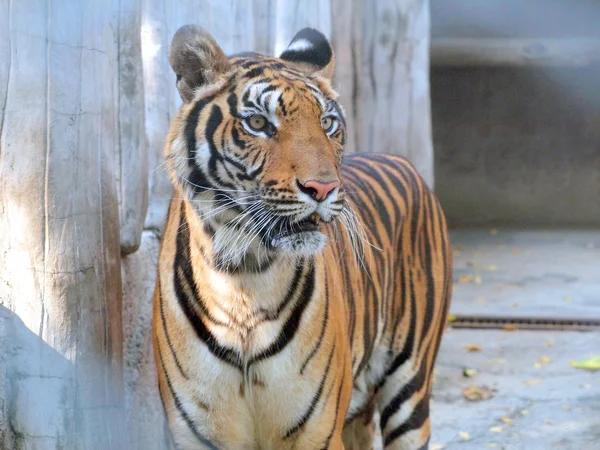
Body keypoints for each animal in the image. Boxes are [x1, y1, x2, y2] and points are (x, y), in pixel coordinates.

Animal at [152, 24, 452, 450]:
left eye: (327, 123)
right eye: (258, 124)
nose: (322, 188)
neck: (243, 279)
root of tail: (399, 159)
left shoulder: (317, 434)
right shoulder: (198, 436)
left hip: (410, 384)